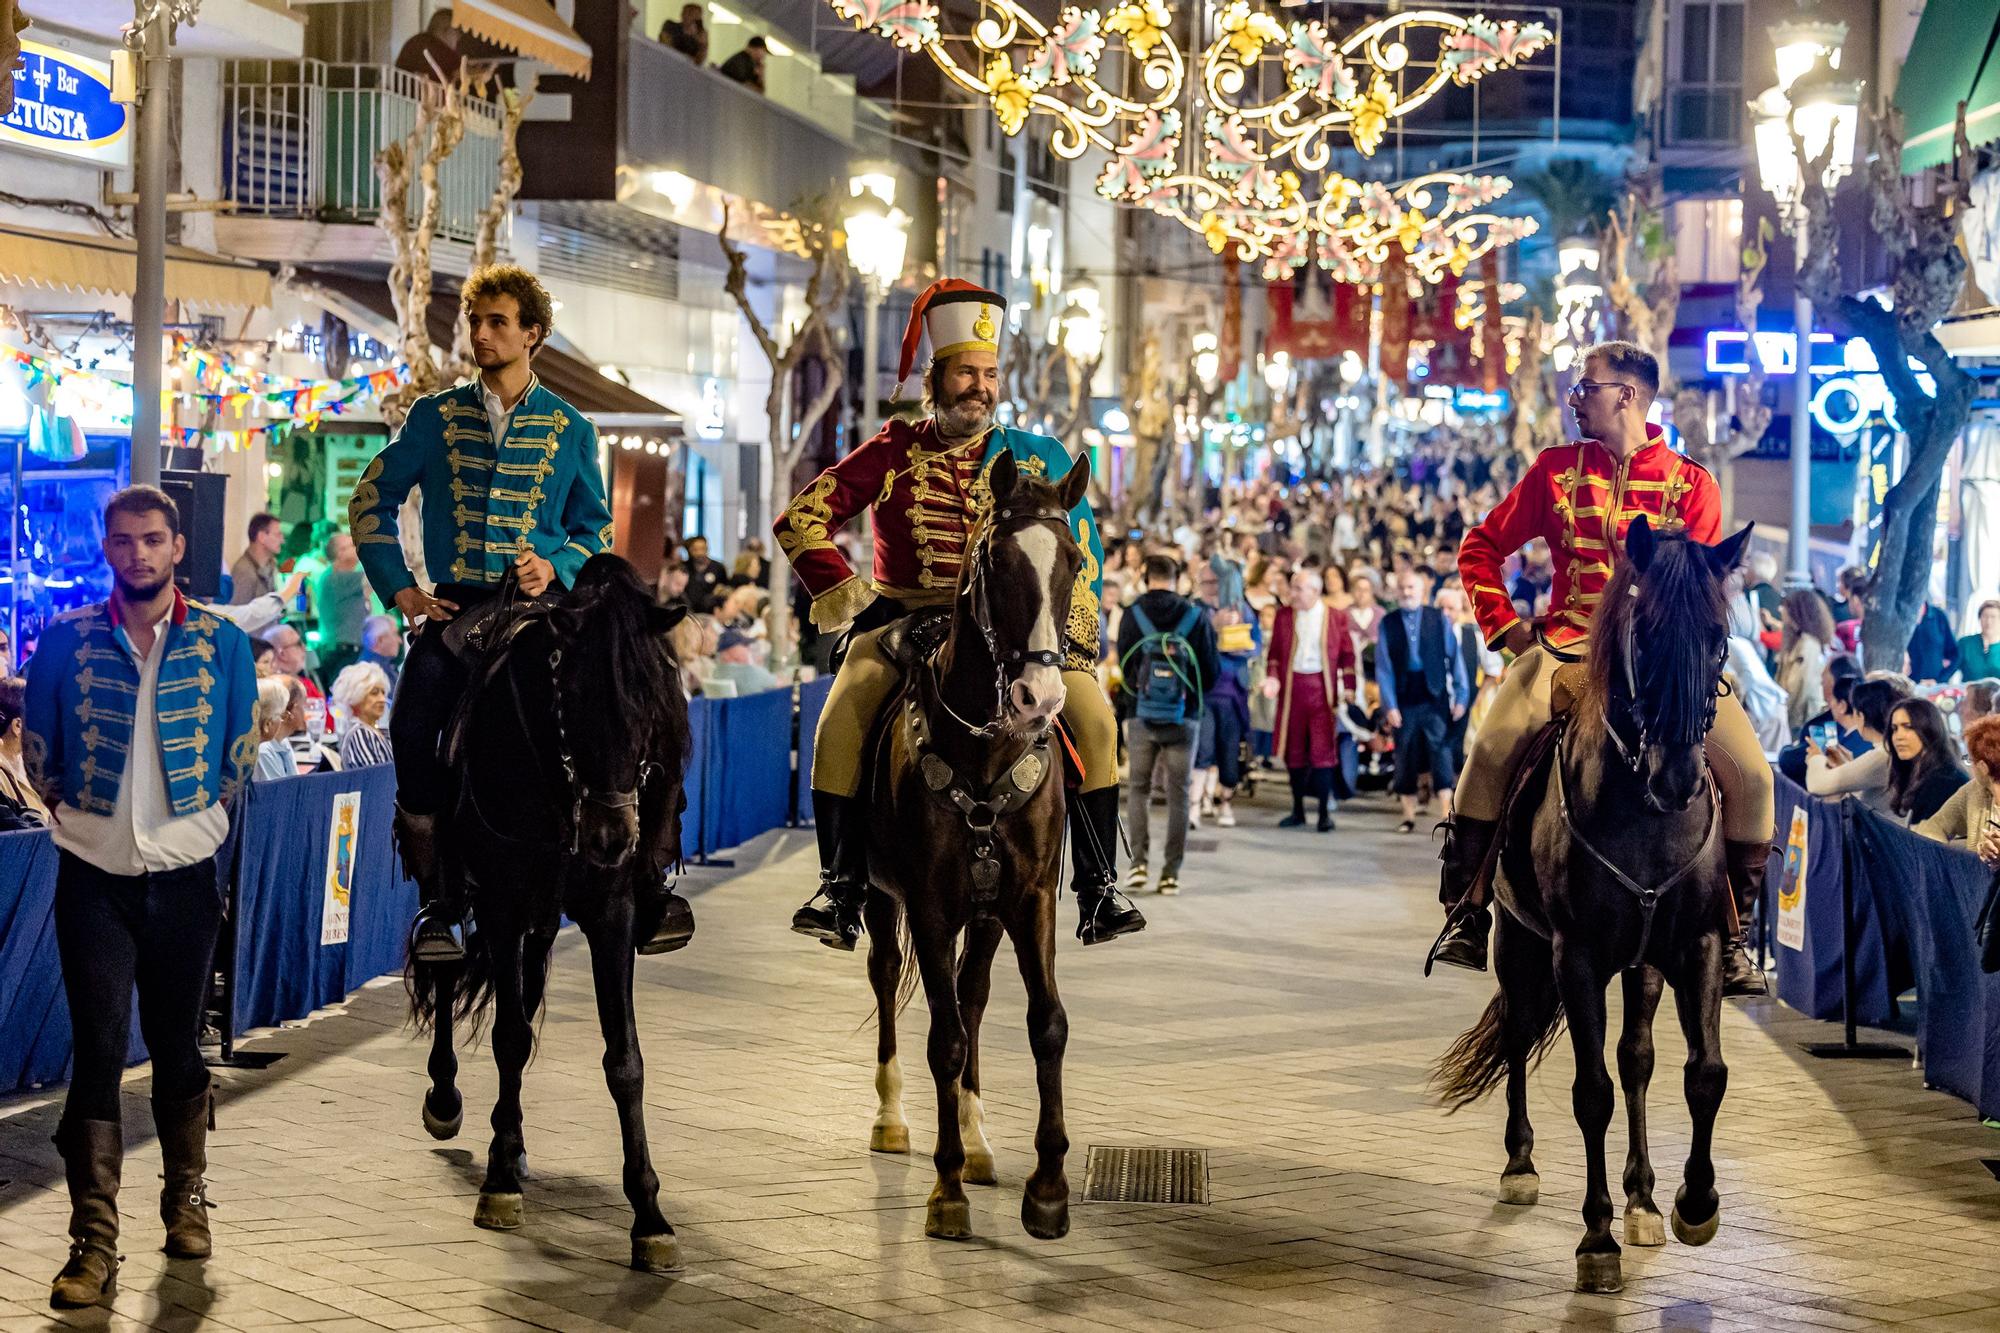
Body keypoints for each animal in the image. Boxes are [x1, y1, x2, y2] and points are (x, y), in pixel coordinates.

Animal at [406, 548, 696, 1264]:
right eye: (572, 702)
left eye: (652, 706)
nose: (612, 838)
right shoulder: (503, 901)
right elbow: (509, 1037)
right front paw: (500, 1184)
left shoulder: (610, 912)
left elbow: (624, 1060)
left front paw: (649, 1215)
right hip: (465, 891)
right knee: (447, 966)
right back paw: (449, 1101)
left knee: (528, 987)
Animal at [856, 452, 1088, 1240]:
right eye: (995, 560)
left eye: (1075, 561)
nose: (1038, 698)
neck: (985, 749)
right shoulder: (927, 904)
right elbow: (944, 1039)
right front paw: (946, 1189)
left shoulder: (1029, 898)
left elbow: (1045, 1024)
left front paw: (1047, 1189)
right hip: (878, 896)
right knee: (888, 979)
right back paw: (893, 1117)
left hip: (985, 915)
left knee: (975, 996)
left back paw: (979, 1139)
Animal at [1440, 516, 1752, 1288]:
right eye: (1645, 633)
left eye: (1718, 634)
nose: (1677, 777)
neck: (1642, 808)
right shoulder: (1574, 953)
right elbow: (1591, 1092)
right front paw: (1596, 1238)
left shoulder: (1695, 943)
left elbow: (1703, 1072)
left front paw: (1693, 1204)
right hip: (1519, 943)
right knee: (1518, 1030)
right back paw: (1521, 1164)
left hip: (1641, 964)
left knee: (1637, 1055)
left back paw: (1643, 1197)